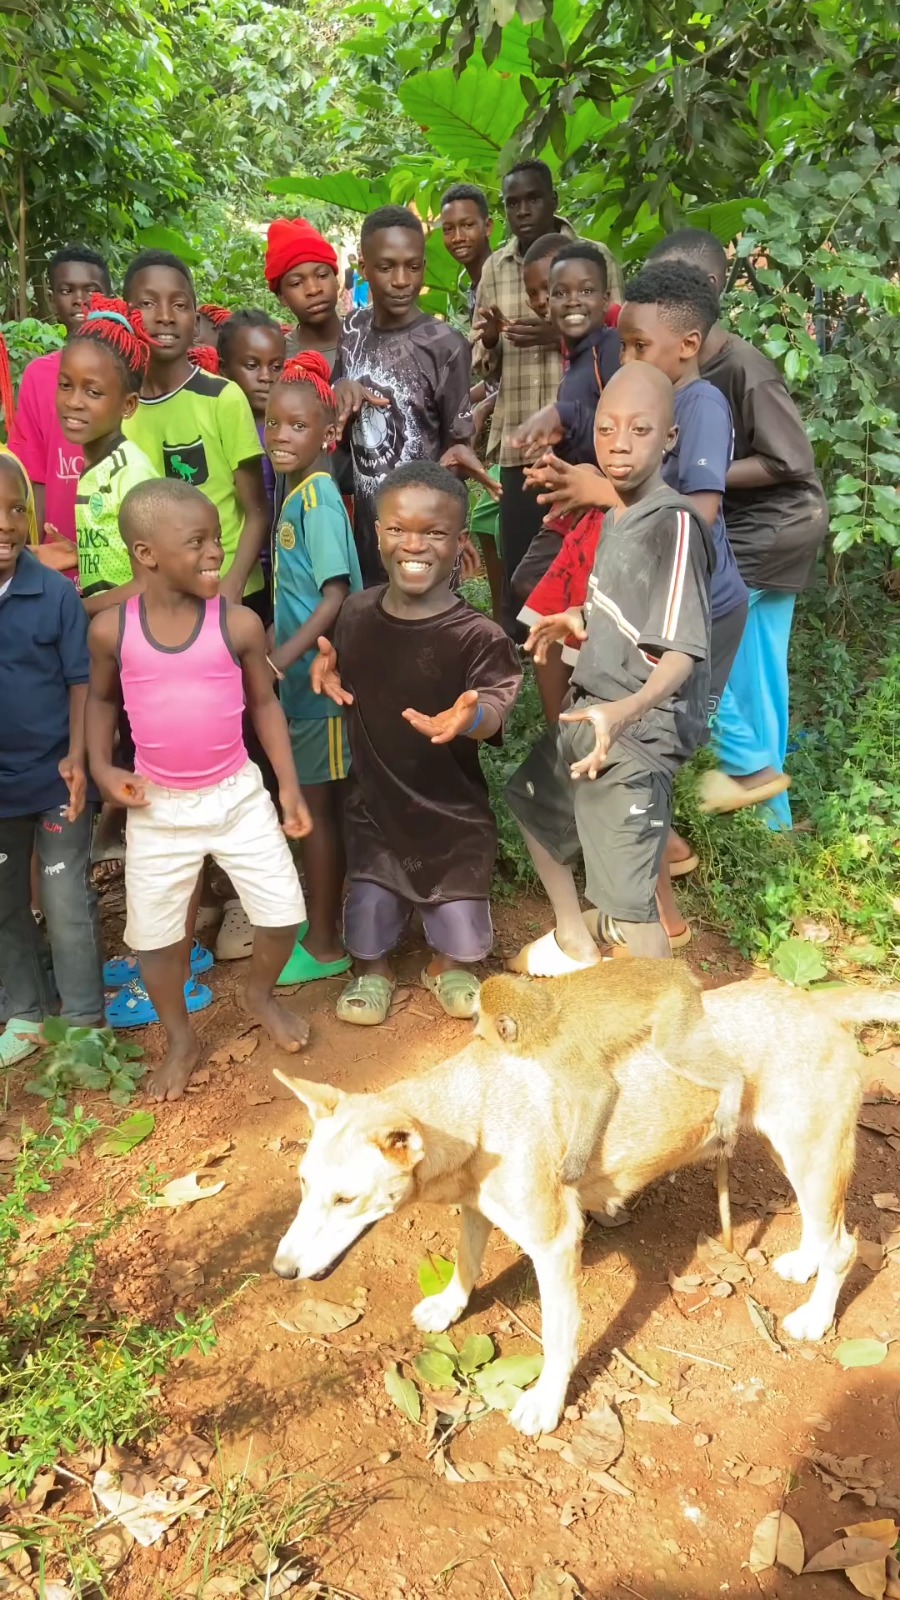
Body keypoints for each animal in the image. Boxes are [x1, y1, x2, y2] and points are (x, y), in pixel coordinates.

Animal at [474, 953, 739, 1203]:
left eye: (477, 1018)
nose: (474, 1031)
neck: (543, 1014)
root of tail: (678, 968)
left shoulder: (561, 1053)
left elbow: (599, 1091)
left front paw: (573, 1165)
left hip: (677, 1003)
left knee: (673, 1050)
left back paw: (732, 1082)